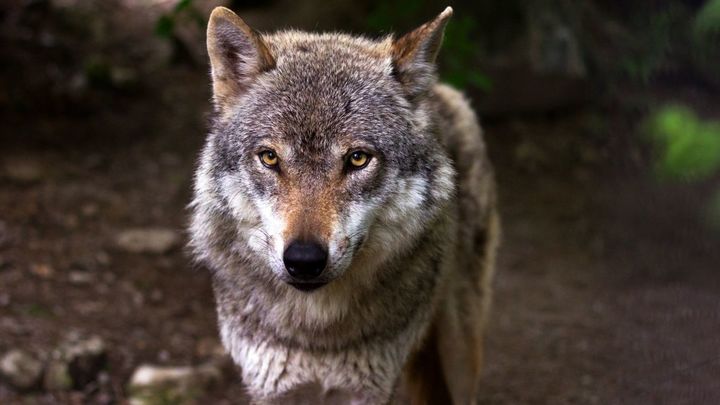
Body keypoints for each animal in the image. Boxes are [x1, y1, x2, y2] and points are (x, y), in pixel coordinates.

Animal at [189, 5, 499, 404]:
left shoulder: (371, 388)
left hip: (460, 351)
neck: (318, 334)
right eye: (270, 158)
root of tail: (440, 91)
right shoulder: (269, 387)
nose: (304, 260)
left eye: (357, 159)